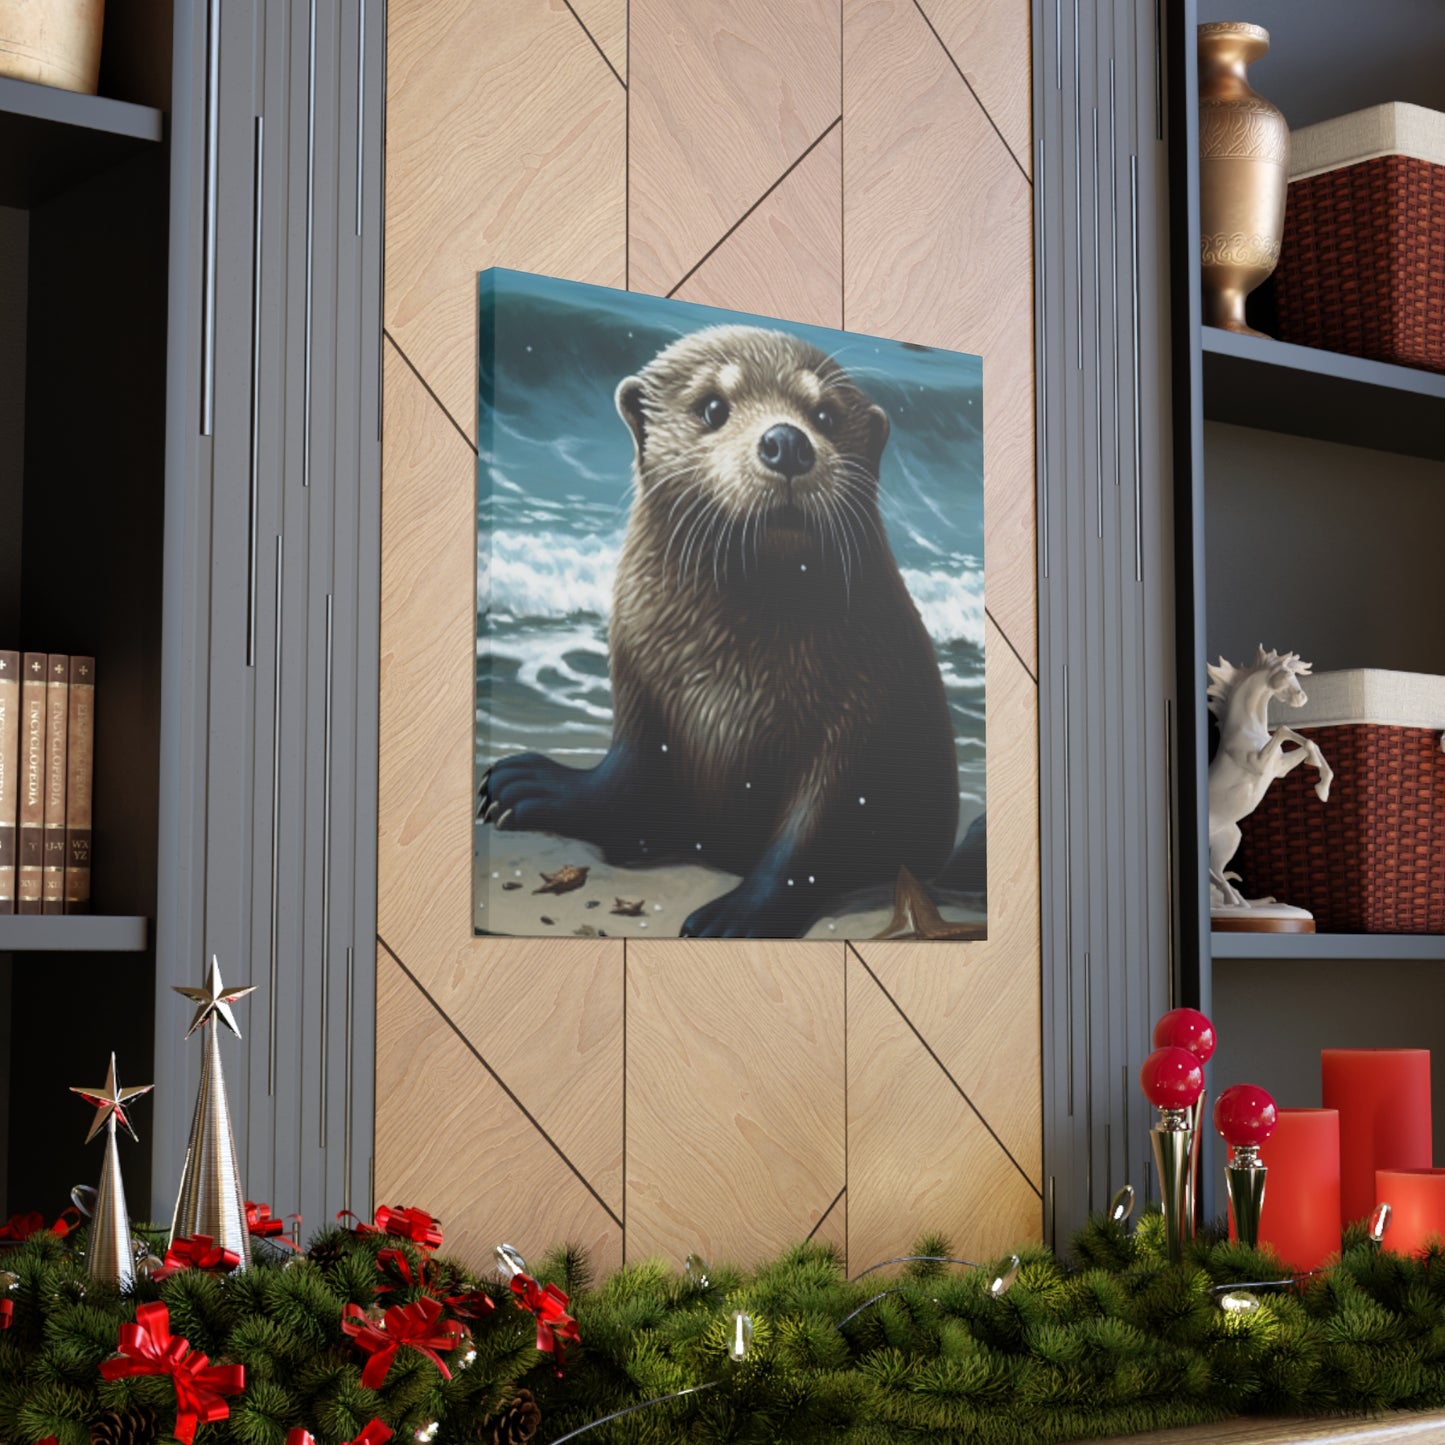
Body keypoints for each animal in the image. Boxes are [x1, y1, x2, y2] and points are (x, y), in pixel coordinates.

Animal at [479, 325, 960, 938]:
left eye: (825, 415)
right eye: (712, 407)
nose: (786, 441)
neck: (732, 681)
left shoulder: (861, 717)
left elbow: (811, 837)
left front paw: (736, 915)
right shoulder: (640, 686)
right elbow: (624, 779)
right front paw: (533, 786)